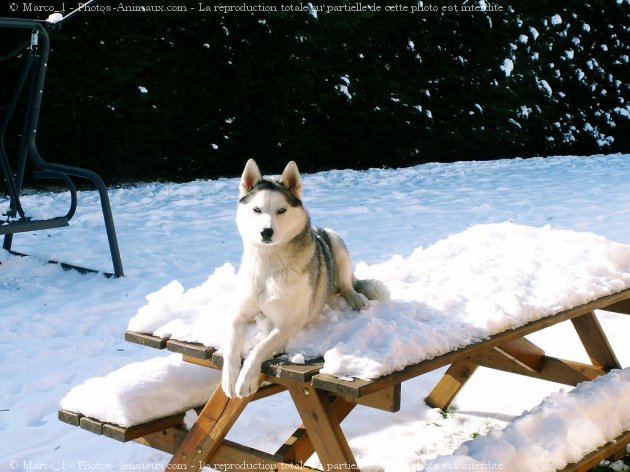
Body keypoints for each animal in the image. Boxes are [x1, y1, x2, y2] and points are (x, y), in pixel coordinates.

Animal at [222, 159, 390, 398]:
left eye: (281, 210)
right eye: (257, 209)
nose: (266, 231)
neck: (269, 264)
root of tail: (318, 229)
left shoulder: (289, 321)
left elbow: (261, 347)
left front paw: (245, 380)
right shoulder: (238, 315)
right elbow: (230, 344)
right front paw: (229, 378)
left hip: (336, 242)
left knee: (347, 285)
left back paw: (355, 297)